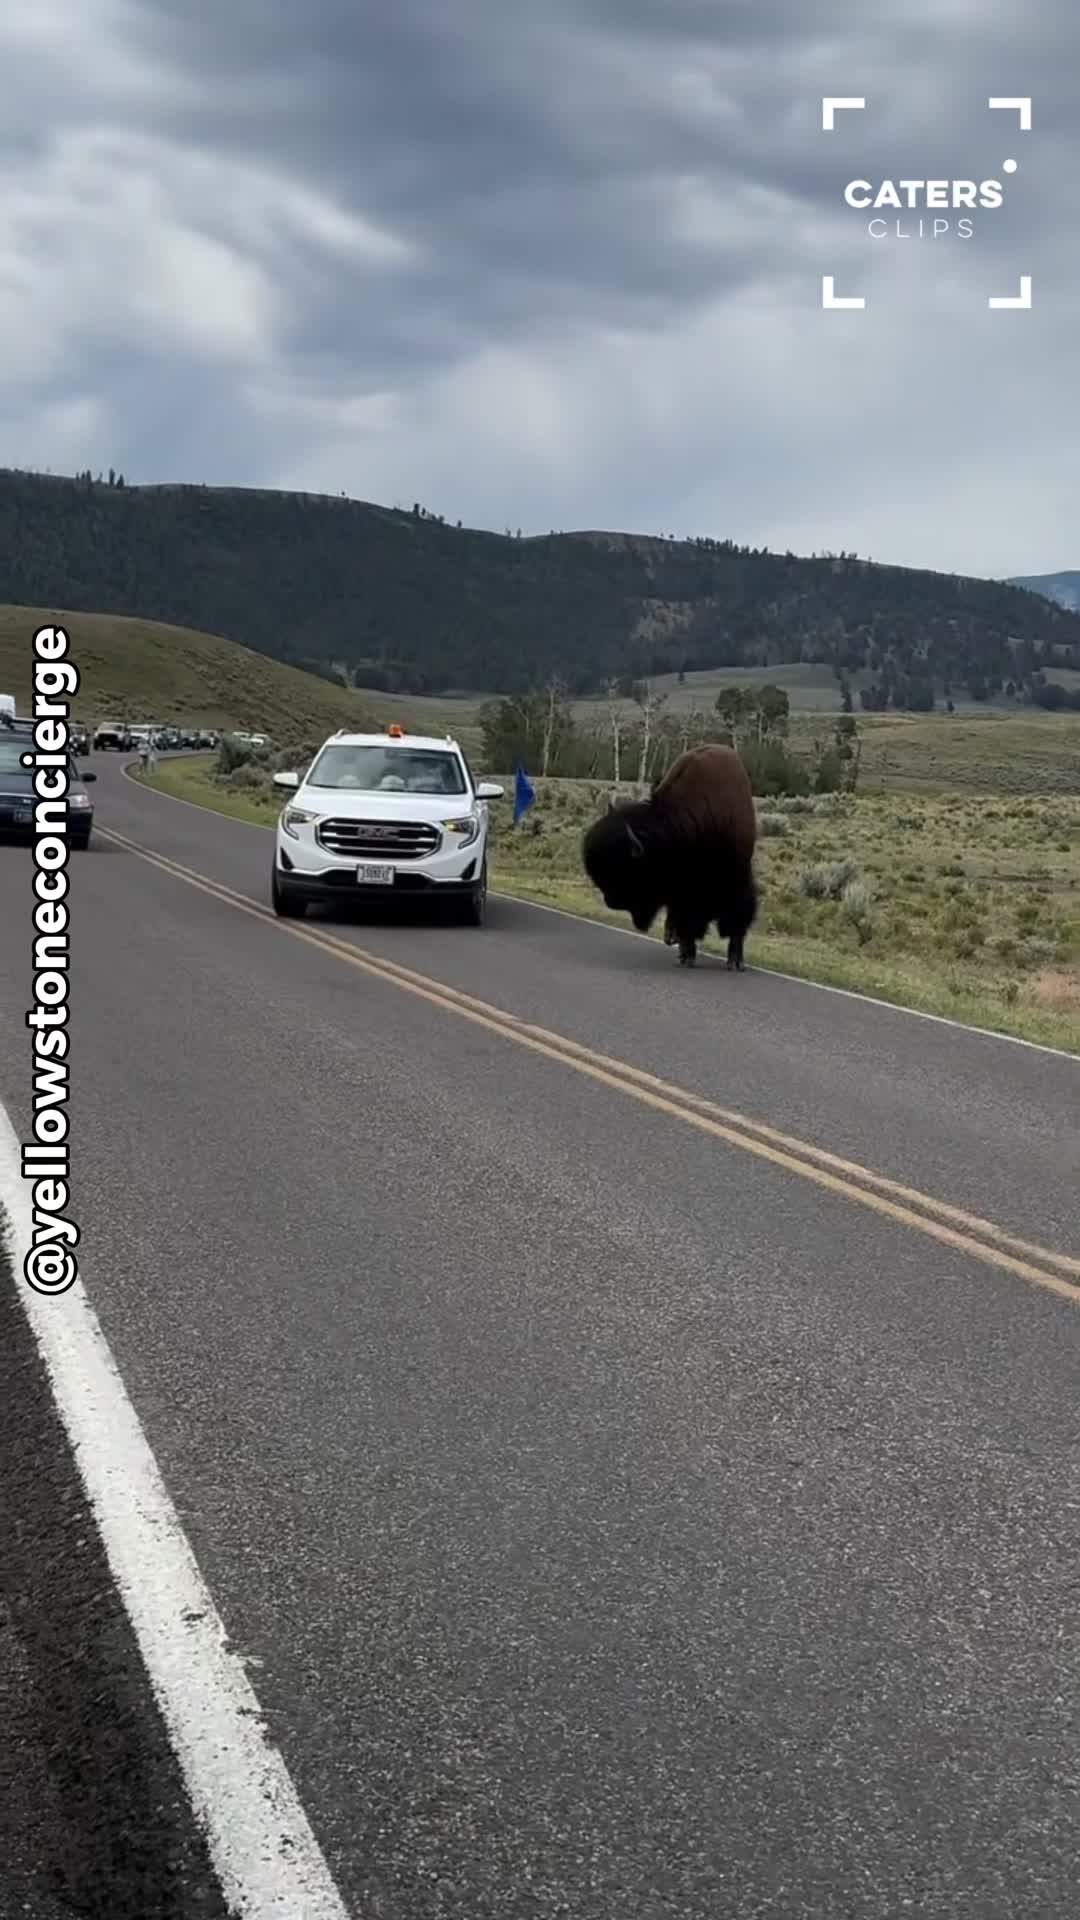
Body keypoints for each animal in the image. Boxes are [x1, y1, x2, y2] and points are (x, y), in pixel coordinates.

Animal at [581, 742, 758, 969]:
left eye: (628, 873)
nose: (610, 901)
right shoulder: (680, 894)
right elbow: (685, 922)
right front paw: (686, 955)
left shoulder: (736, 882)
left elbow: (736, 922)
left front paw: (735, 962)